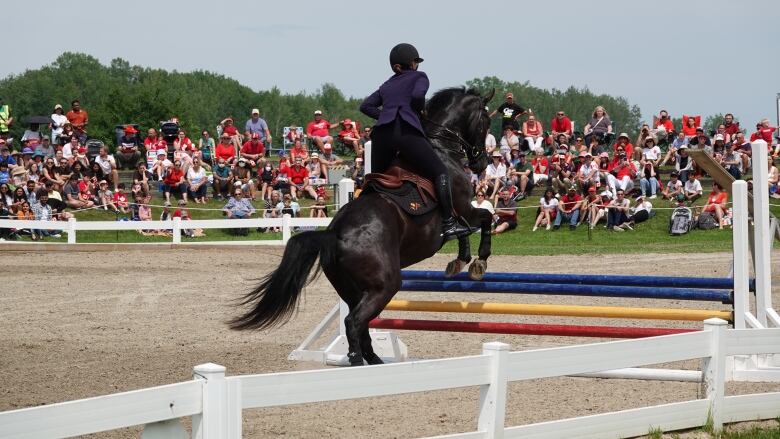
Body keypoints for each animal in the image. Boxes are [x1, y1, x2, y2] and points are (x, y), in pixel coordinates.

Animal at [230, 87, 494, 366]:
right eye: (486, 122)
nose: (481, 163)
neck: (441, 147)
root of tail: (334, 234)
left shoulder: (462, 214)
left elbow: (467, 232)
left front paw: (459, 261)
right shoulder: (465, 210)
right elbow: (486, 219)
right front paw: (478, 262)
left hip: (352, 289)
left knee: (361, 323)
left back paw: (373, 360)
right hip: (384, 286)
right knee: (354, 321)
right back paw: (360, 361)